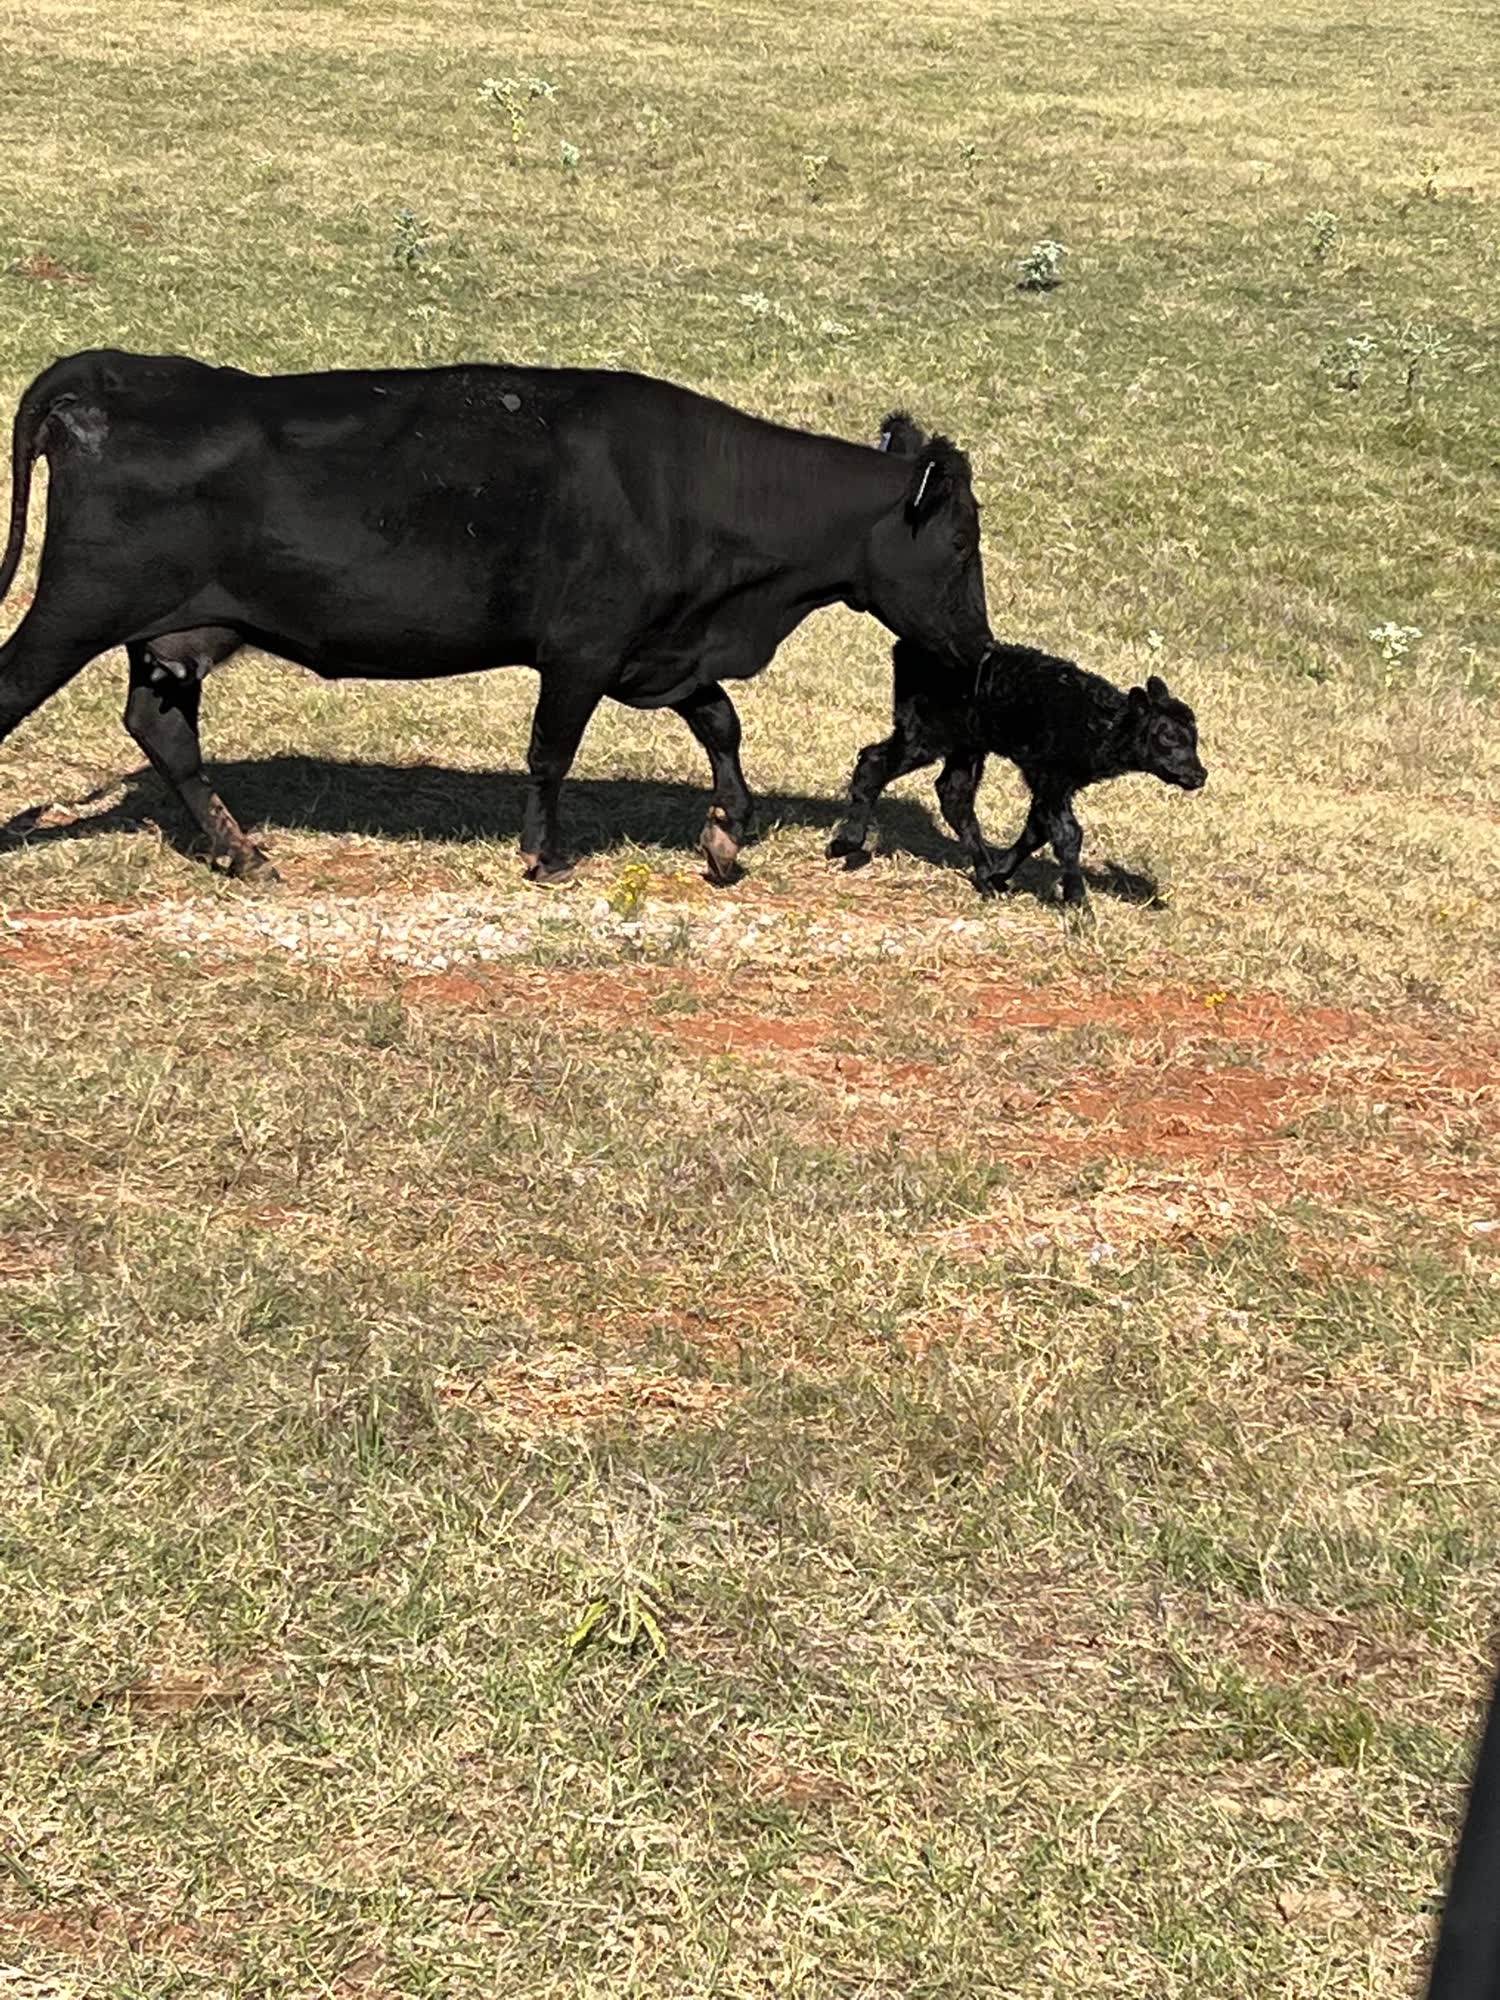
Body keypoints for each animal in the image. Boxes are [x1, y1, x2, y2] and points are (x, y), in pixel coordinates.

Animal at [0, 351, 993, 884]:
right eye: (960, 543)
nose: (980, 646)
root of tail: (117, 375)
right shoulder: (583, 650)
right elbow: (552, 750)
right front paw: (545, 855)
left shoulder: (658, 651)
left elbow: (721, 721)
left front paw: (726, 831)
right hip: (75, 612)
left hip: (173, 634)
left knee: (163, 730)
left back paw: (245, 854)